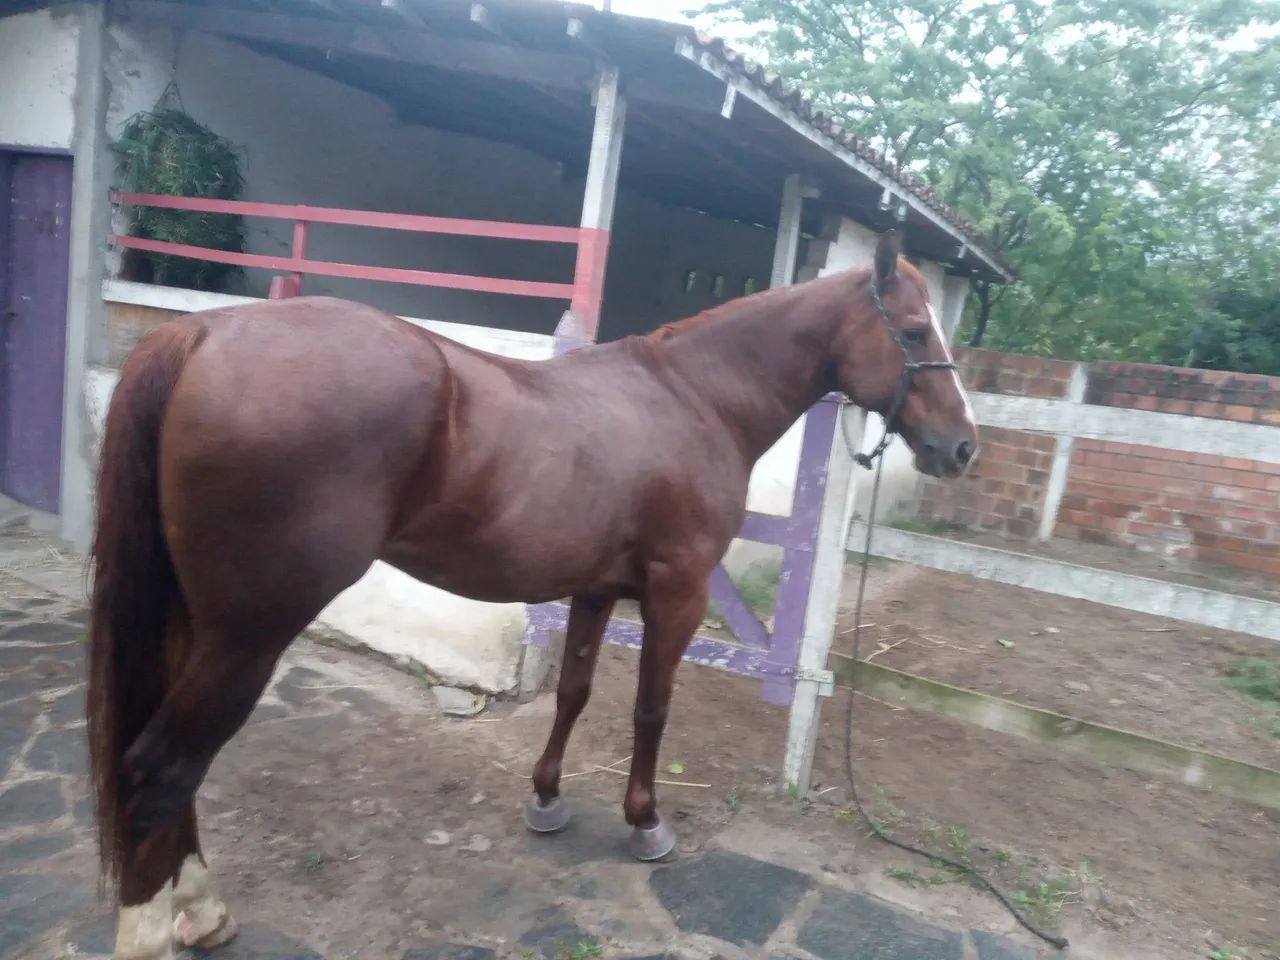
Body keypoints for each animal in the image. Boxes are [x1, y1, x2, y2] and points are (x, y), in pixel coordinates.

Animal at [87, 229, 976, 960]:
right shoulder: (678, 592)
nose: (962, 448)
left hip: (195, 625)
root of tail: (203, 331)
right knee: (163, 768)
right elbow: (649, 709)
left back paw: (201, 910)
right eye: (913, 331)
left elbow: (573, 692)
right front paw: (645, 822)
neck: (695, 399)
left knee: (172, 769)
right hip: (248, 634)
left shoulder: (594, 589)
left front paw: (547, 800)